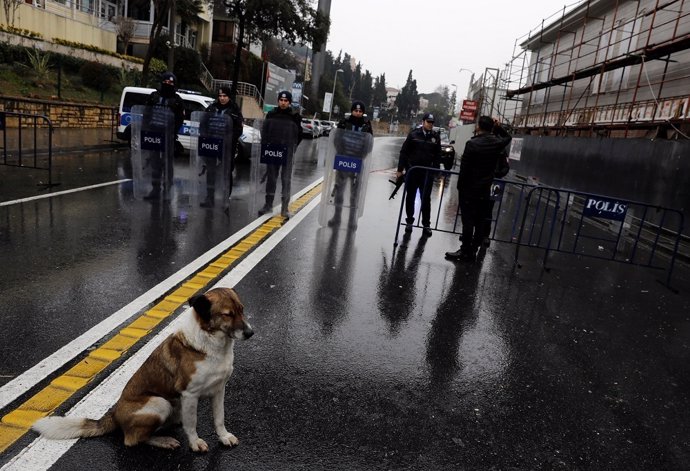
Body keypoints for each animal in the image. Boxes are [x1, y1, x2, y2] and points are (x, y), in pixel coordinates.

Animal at [32, 288, 253, 454]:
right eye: (227, 315)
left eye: (242, 310)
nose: (251, 333)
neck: (211, 344)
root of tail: (114, 414)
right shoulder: (189, 394)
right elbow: (192, 424)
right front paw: (195, 442)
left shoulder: (219, 390)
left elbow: (219, 418)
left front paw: (223, 437)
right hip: (159, 403)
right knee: (132, 439)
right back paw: (163, 440)